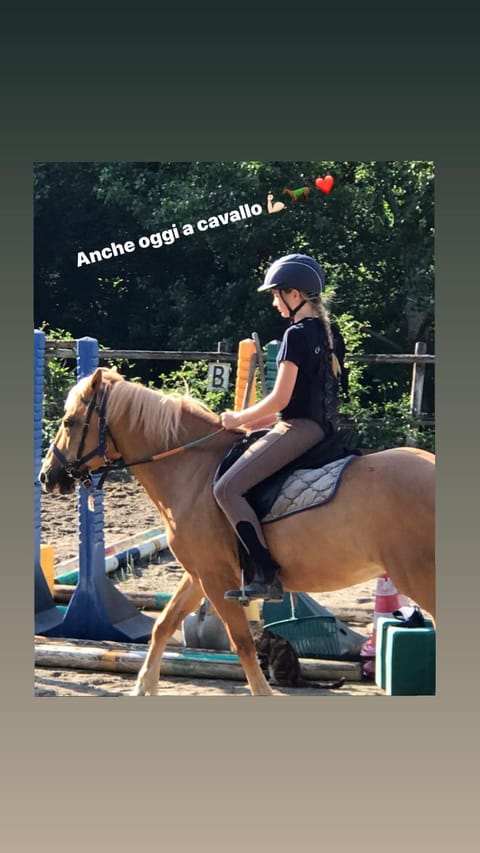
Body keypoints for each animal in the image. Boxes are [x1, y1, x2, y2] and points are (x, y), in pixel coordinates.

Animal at [39, 368, 435, 697]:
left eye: (70, 422)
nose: (47, 476)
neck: (193, 470)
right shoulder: (199, 573)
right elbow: (164, 625)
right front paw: (142, 689)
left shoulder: (217, 578)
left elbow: (241, 641)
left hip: (417, 577)